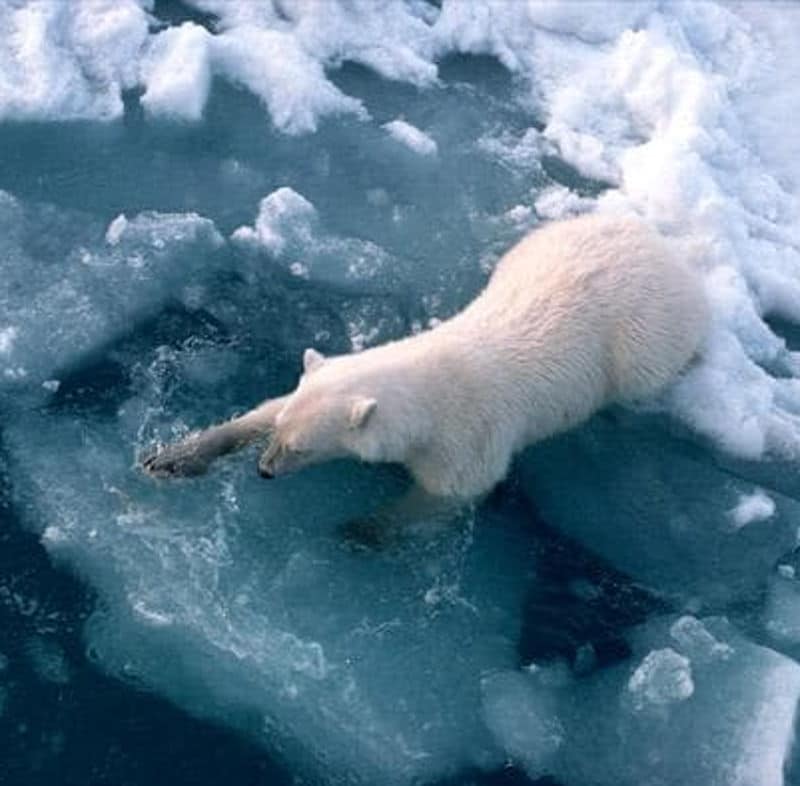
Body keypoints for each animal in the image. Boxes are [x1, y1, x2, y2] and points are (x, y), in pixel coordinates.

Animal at [142, 216, 708, 528]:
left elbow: (448, 494)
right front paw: (172, 458)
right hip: (546, 240)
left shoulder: (468, 441)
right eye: (282, 436)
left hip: (645, 341)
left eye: (301, 449)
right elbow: (264, 408)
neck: (432, 391)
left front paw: (362, 531)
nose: (264, 471)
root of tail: (659, 246)